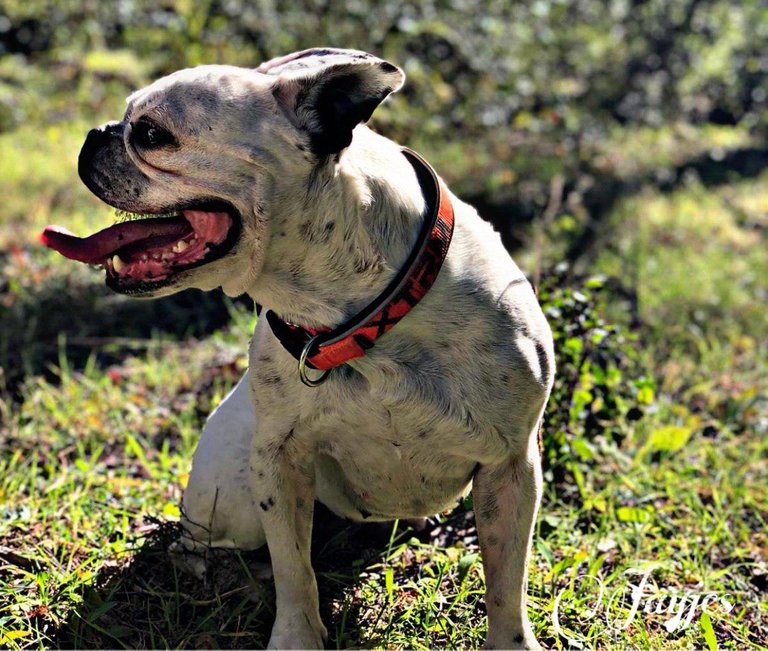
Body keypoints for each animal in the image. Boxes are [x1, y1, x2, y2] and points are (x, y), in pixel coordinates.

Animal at [42, 48, 552, 648]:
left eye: (148, 134)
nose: (95, 134)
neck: (360, 313)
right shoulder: (279, 463)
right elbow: (293, 568)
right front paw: (296, 635)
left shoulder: (510, 468)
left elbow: (506, 581)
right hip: (228, 497)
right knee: (207, 543)